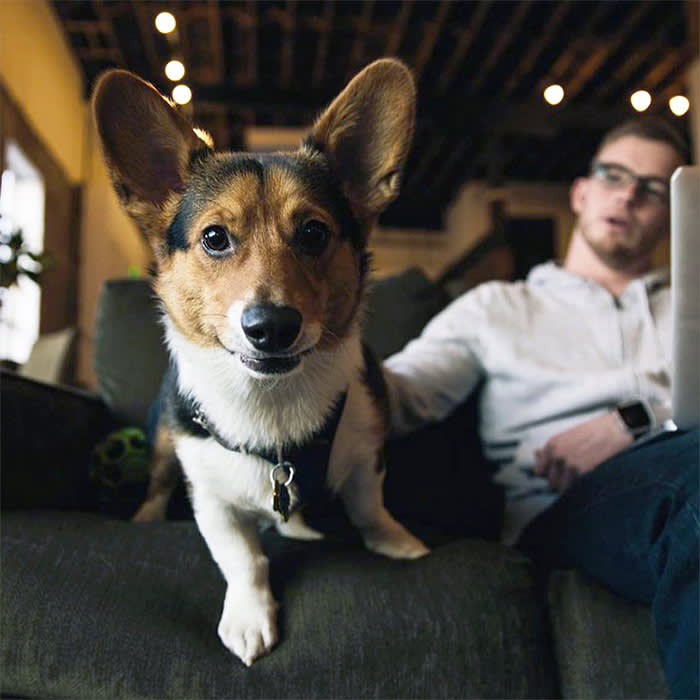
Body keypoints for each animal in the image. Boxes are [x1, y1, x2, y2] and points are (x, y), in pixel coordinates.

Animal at [92, 57, 426, 664]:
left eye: (314, 232)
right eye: (214, 237)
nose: (271, 327)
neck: (269, 402)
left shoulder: (367, 452)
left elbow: (369, 505)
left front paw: (395, 541)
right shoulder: (213, 503)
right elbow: (244, 561)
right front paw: (249, 619)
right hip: (163, 442)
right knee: (156, 482)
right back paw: (147, 516)